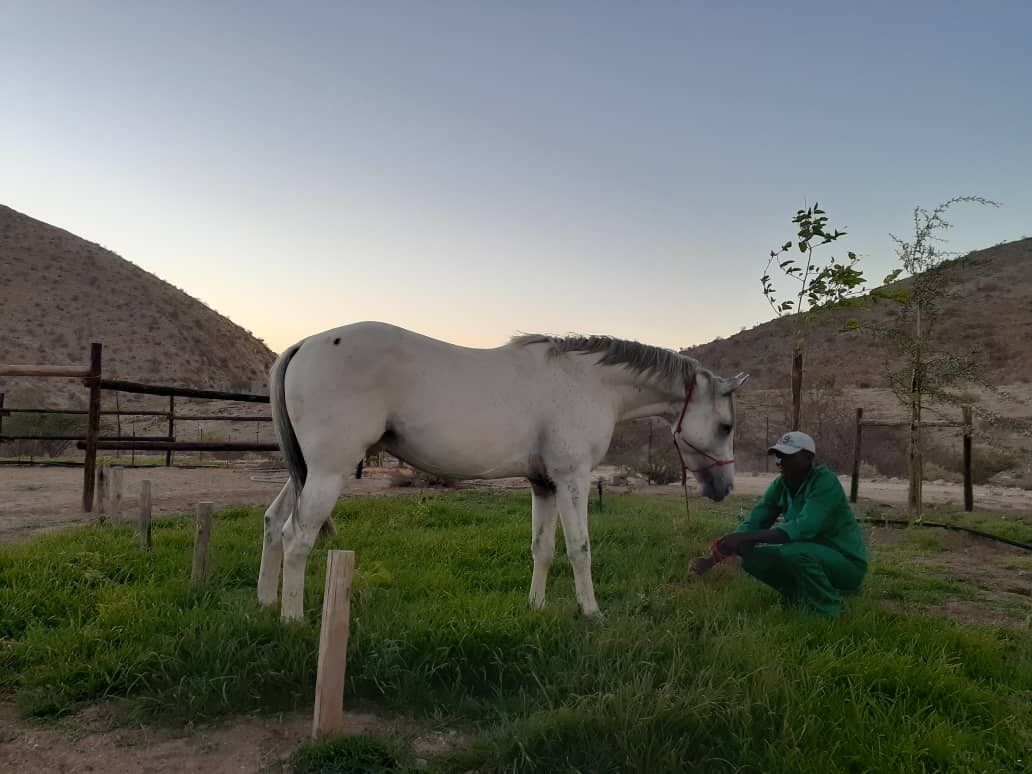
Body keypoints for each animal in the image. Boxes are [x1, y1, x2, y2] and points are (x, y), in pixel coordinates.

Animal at [257, 321, 748, 621]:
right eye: (726, 426)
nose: (724, 486)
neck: (588, 382)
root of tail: (304, 344)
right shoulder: (572, 479)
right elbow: (580, 549)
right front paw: (591, 612)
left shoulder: (543, 484)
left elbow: (543, 548)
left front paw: (536, 607)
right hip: (329, 473)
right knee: (297, 538)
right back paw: (293, 618)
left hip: (306, 473)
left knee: (273, 522)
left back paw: (265, 603)